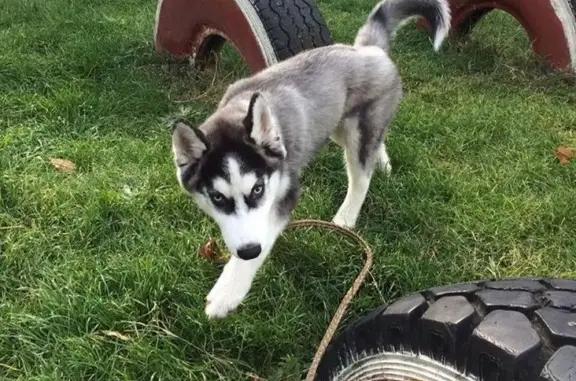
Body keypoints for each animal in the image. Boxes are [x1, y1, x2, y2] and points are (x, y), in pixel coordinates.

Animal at [171, 0, 450, 318]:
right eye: (217, 197)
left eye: (257, 189)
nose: (249, 250)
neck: (238, 110)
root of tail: (368, 48)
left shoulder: (286, 193)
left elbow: (265, 232)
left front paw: (228, 292)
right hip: (336, 128)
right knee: (377, 140)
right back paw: (383, 162)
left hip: (356, 133)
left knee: (361, 176)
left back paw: (347, 215)